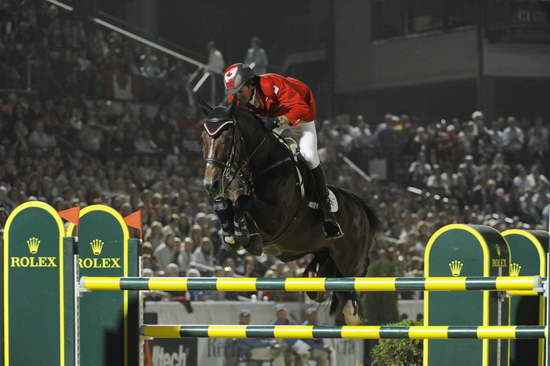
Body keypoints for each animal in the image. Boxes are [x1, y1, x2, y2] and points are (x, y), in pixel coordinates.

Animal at [201, 101, 382, 324]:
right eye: (203, 137)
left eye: (227, 139)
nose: (210, 184)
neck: (263, 166)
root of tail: (362, 210)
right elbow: (224, 203)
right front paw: (230, 233)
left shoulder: (275, 220)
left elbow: (243, 202)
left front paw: (244, 233)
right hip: (326, 259)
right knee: (323, 289)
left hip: (349, 266)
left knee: (351, 305)